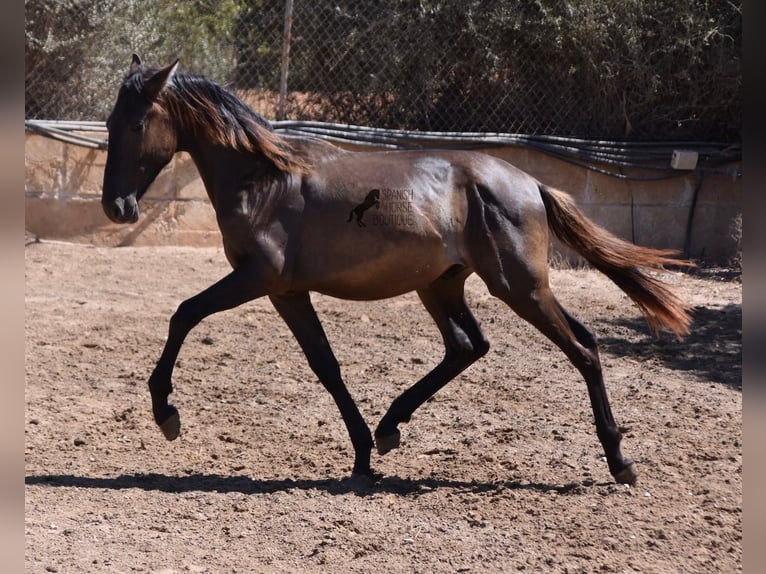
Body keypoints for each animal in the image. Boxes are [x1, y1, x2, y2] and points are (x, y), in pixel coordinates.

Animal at [99, 54, 692, 488]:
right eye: (107, 122)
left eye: (136, 121)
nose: (117, 207)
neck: (265, 179)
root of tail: (528, 184)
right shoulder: (287, 293)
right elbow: (326, 366)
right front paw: (363, 457)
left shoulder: (258, 279)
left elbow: (184, 313)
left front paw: (166, 413)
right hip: (443, 285)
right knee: (469, 346)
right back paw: (389, 429)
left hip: (518, 285)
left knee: (583, 348)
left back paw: (620, 462)